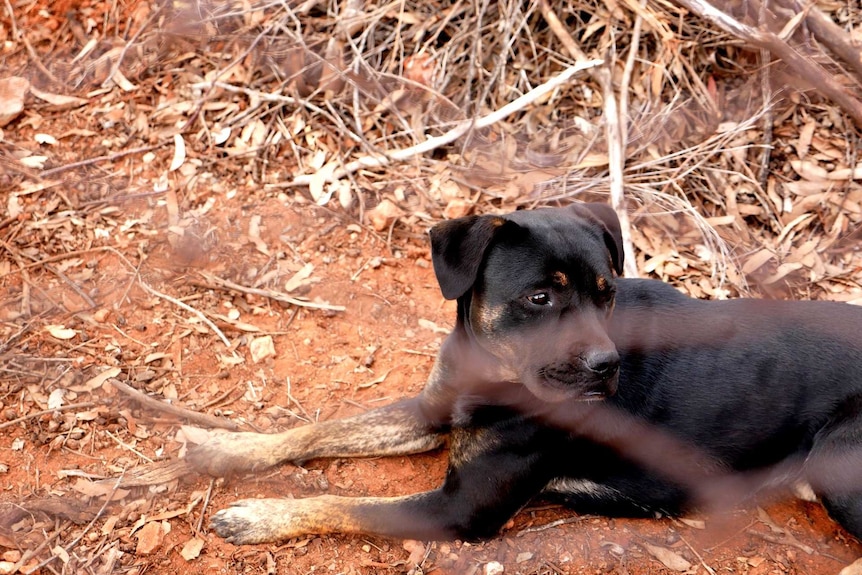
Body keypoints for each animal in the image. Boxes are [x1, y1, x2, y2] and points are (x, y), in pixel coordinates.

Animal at [187, 205, 862, 548]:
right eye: (540, 297)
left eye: (605, 293)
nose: (607, 366)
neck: (491, 369)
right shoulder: (431, 410)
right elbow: (317, 432)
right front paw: (227, 448)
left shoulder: (460, 507)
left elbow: (346, 504)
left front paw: (261, 516)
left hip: (840, 461)